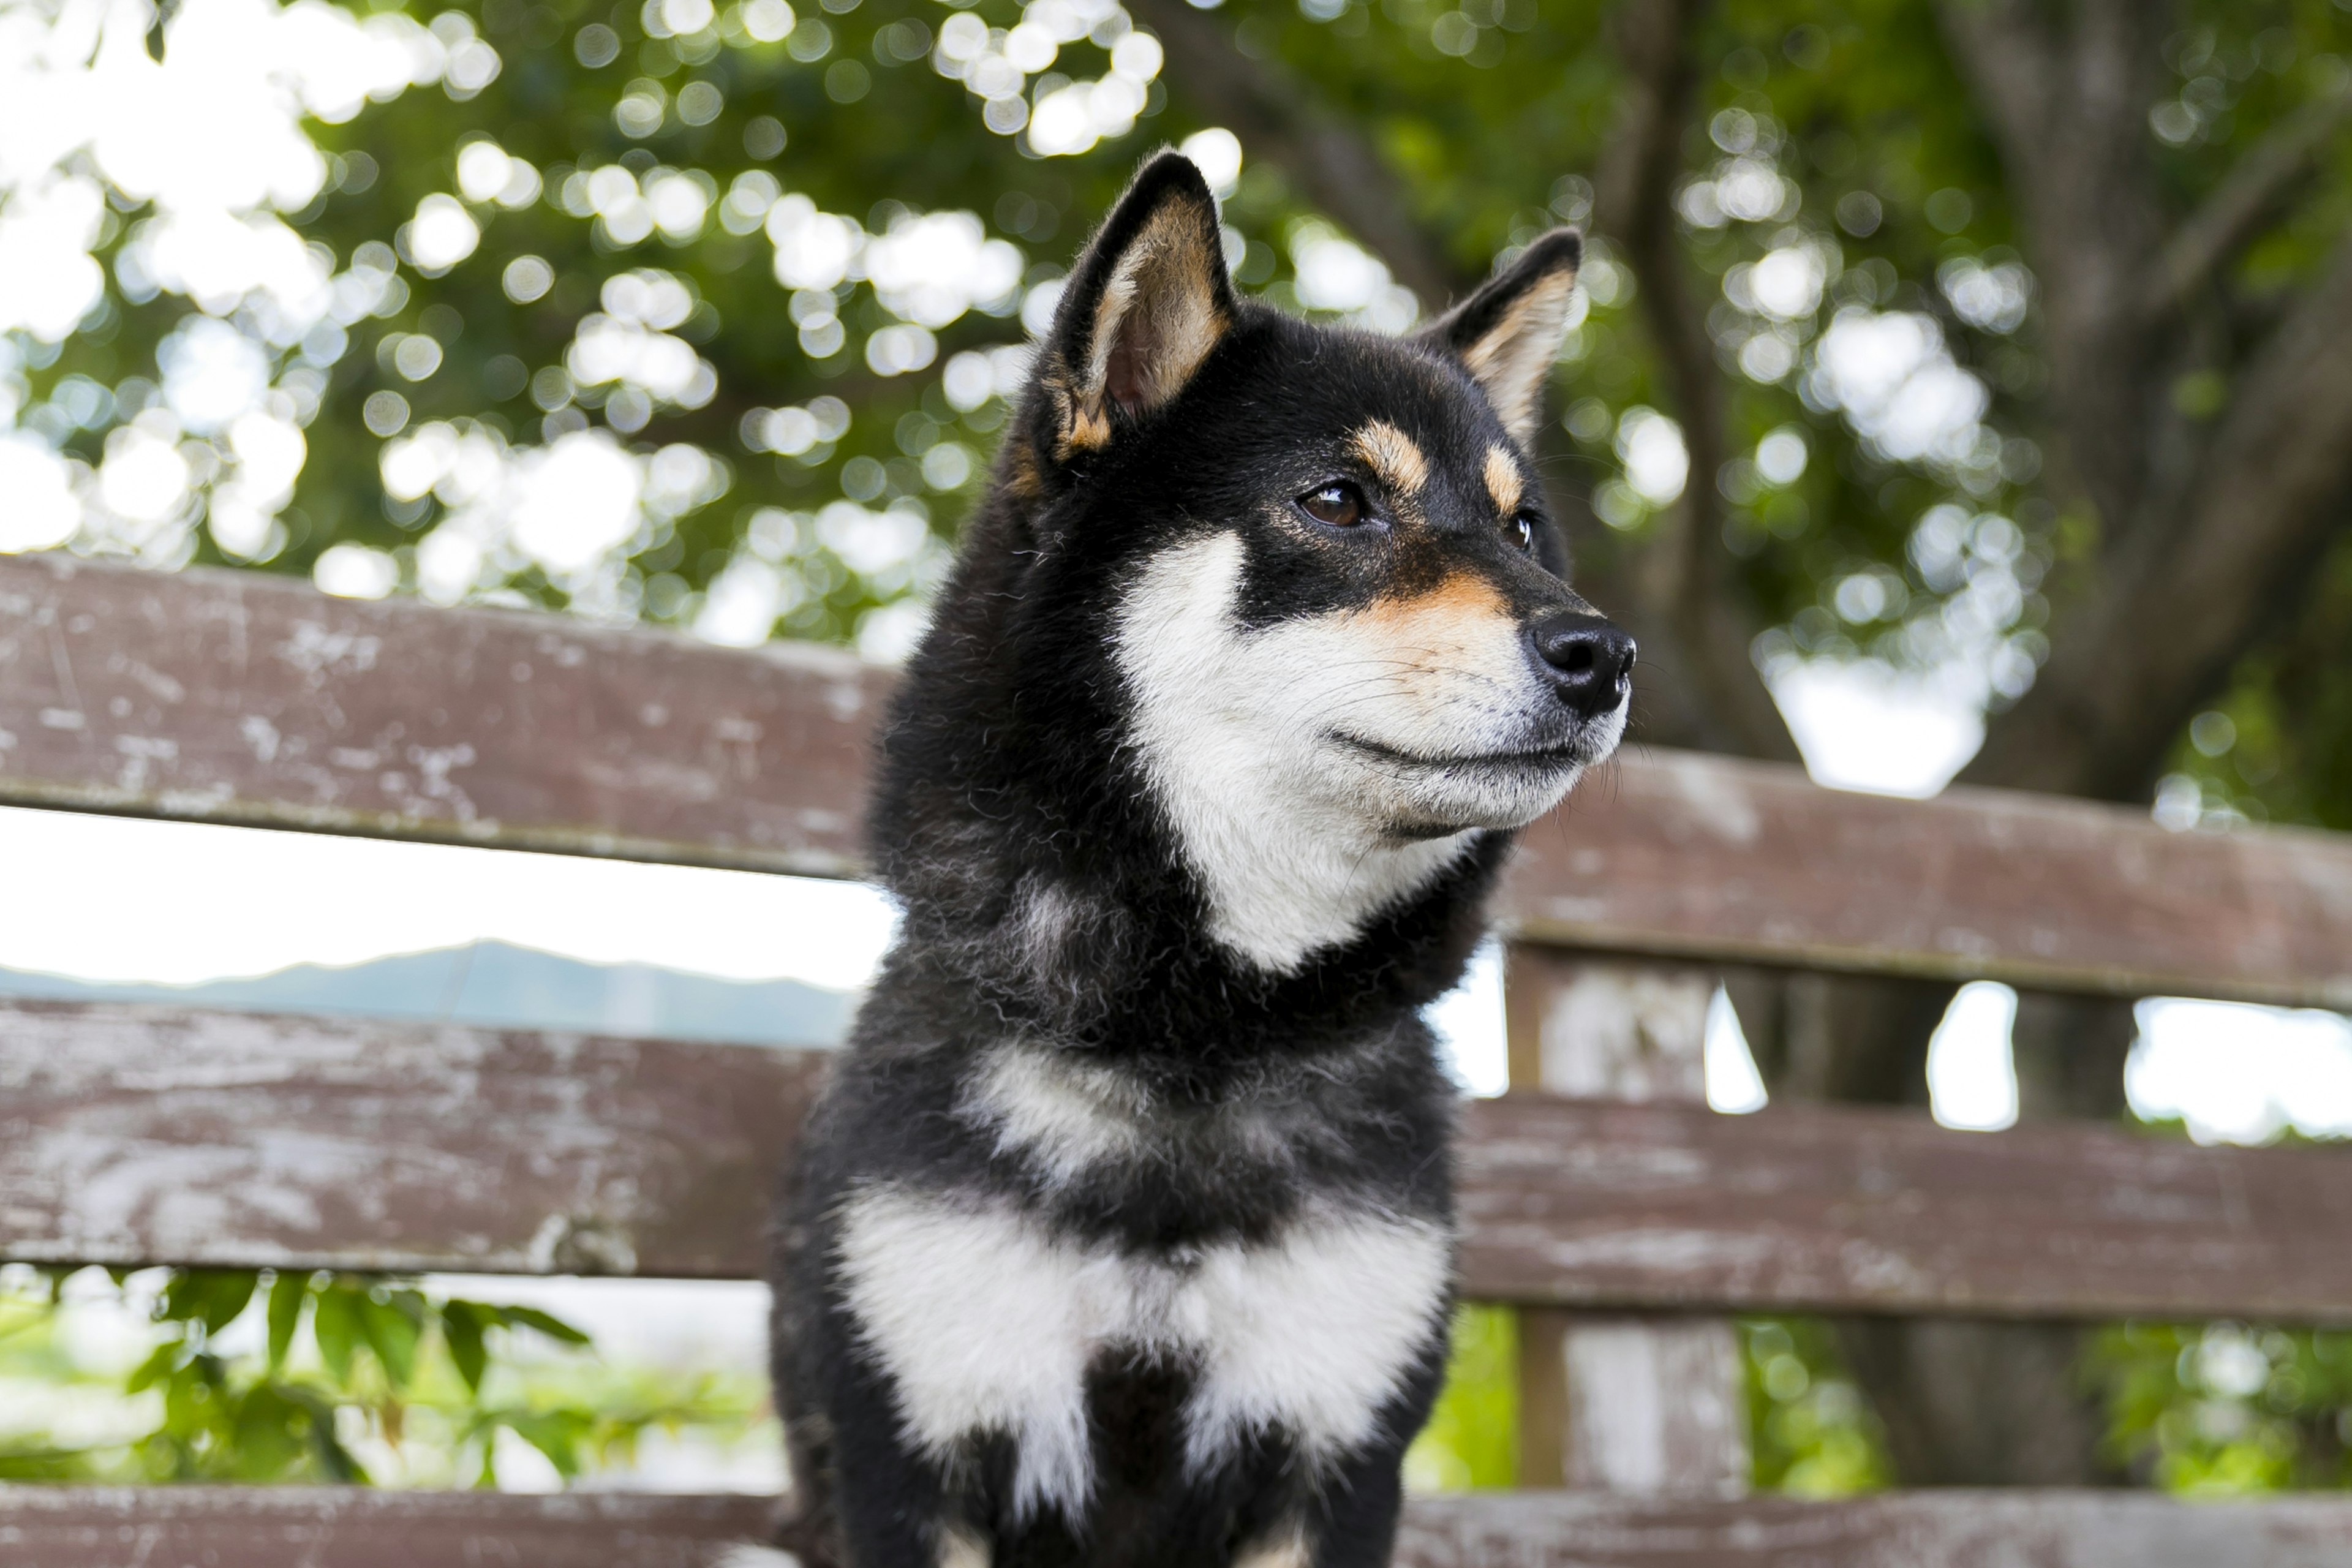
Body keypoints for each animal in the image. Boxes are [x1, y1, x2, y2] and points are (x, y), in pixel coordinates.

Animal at [743, 153, 1627, 1568]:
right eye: (1341, 500)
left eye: (1526, 530)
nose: (1605, 654)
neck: (1192, 1039)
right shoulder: (917, 1460)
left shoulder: (1333, 1458)